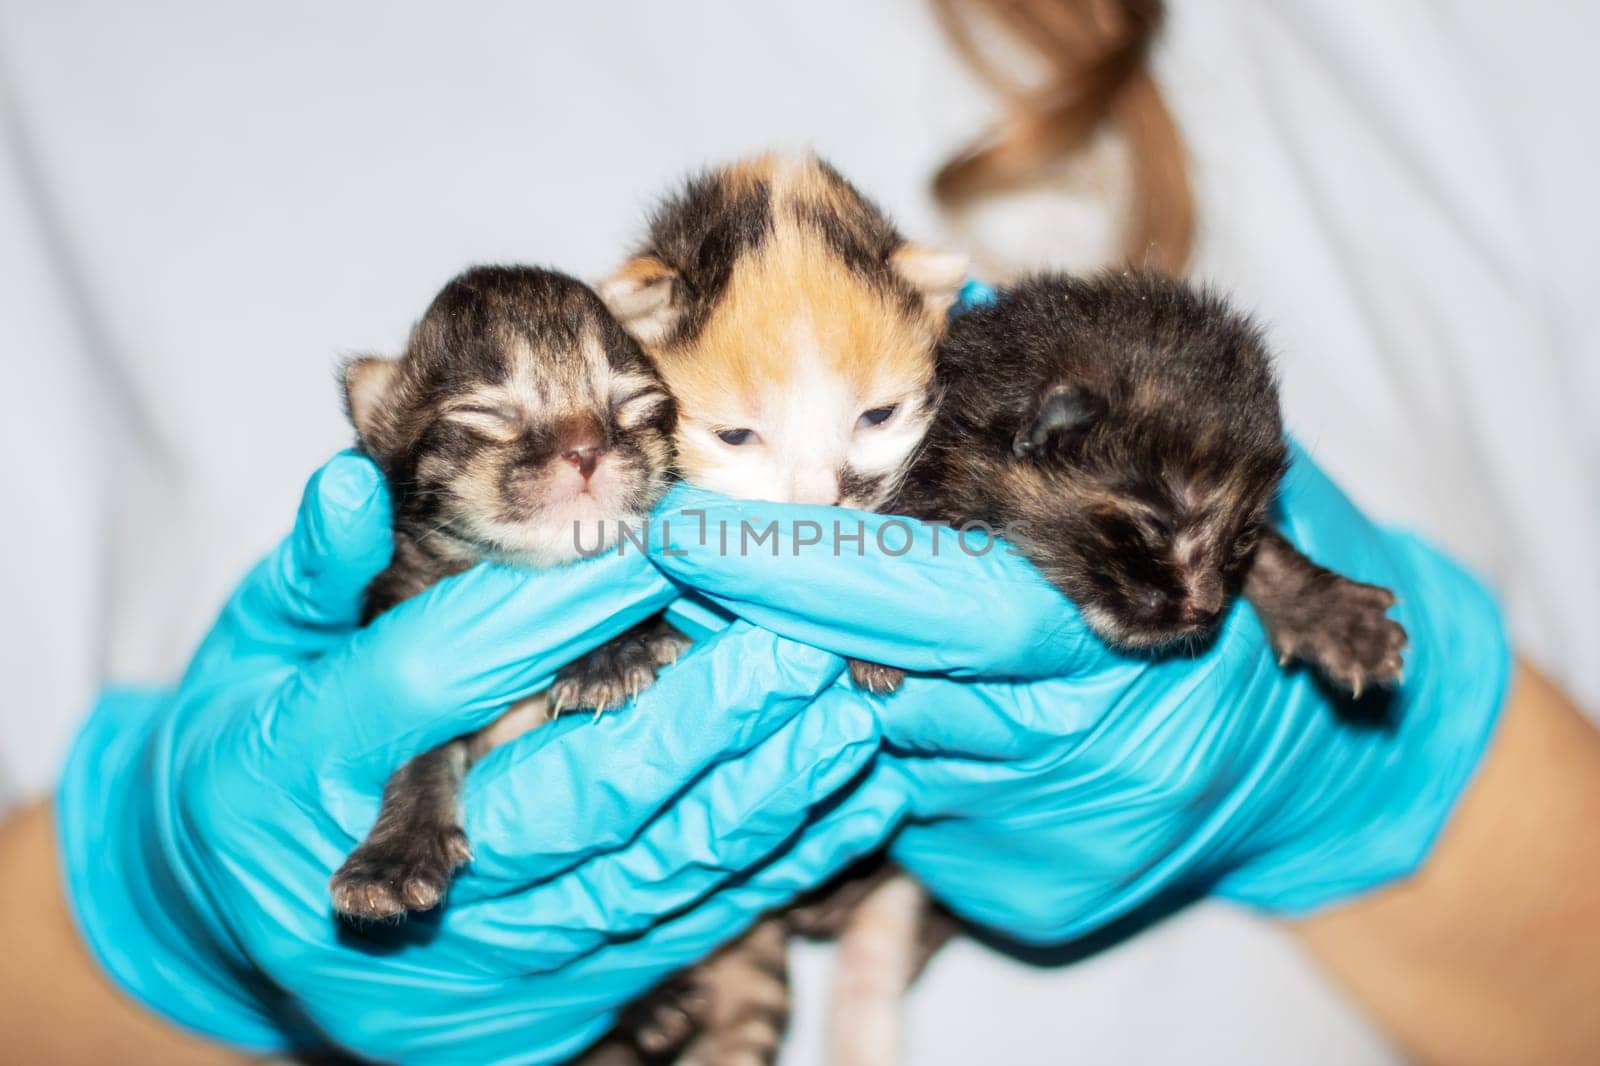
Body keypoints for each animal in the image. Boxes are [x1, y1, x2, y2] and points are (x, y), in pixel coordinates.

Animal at [328, 260, 684, 915]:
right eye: (486, 415)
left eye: (633, 403)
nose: (585, 450)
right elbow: (422, 750)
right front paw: (393, 855)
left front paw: (613, 654)